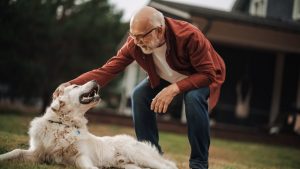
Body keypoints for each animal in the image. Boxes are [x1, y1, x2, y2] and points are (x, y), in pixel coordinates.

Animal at [0, 80, 177, 169]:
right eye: (76, 85)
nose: (96, 80)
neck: (63, 124)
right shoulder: (38, 153)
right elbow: (16, 151)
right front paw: (3, 157)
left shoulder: (80, 155)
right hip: (130, 166)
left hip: (138, 155)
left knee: (168, 167)